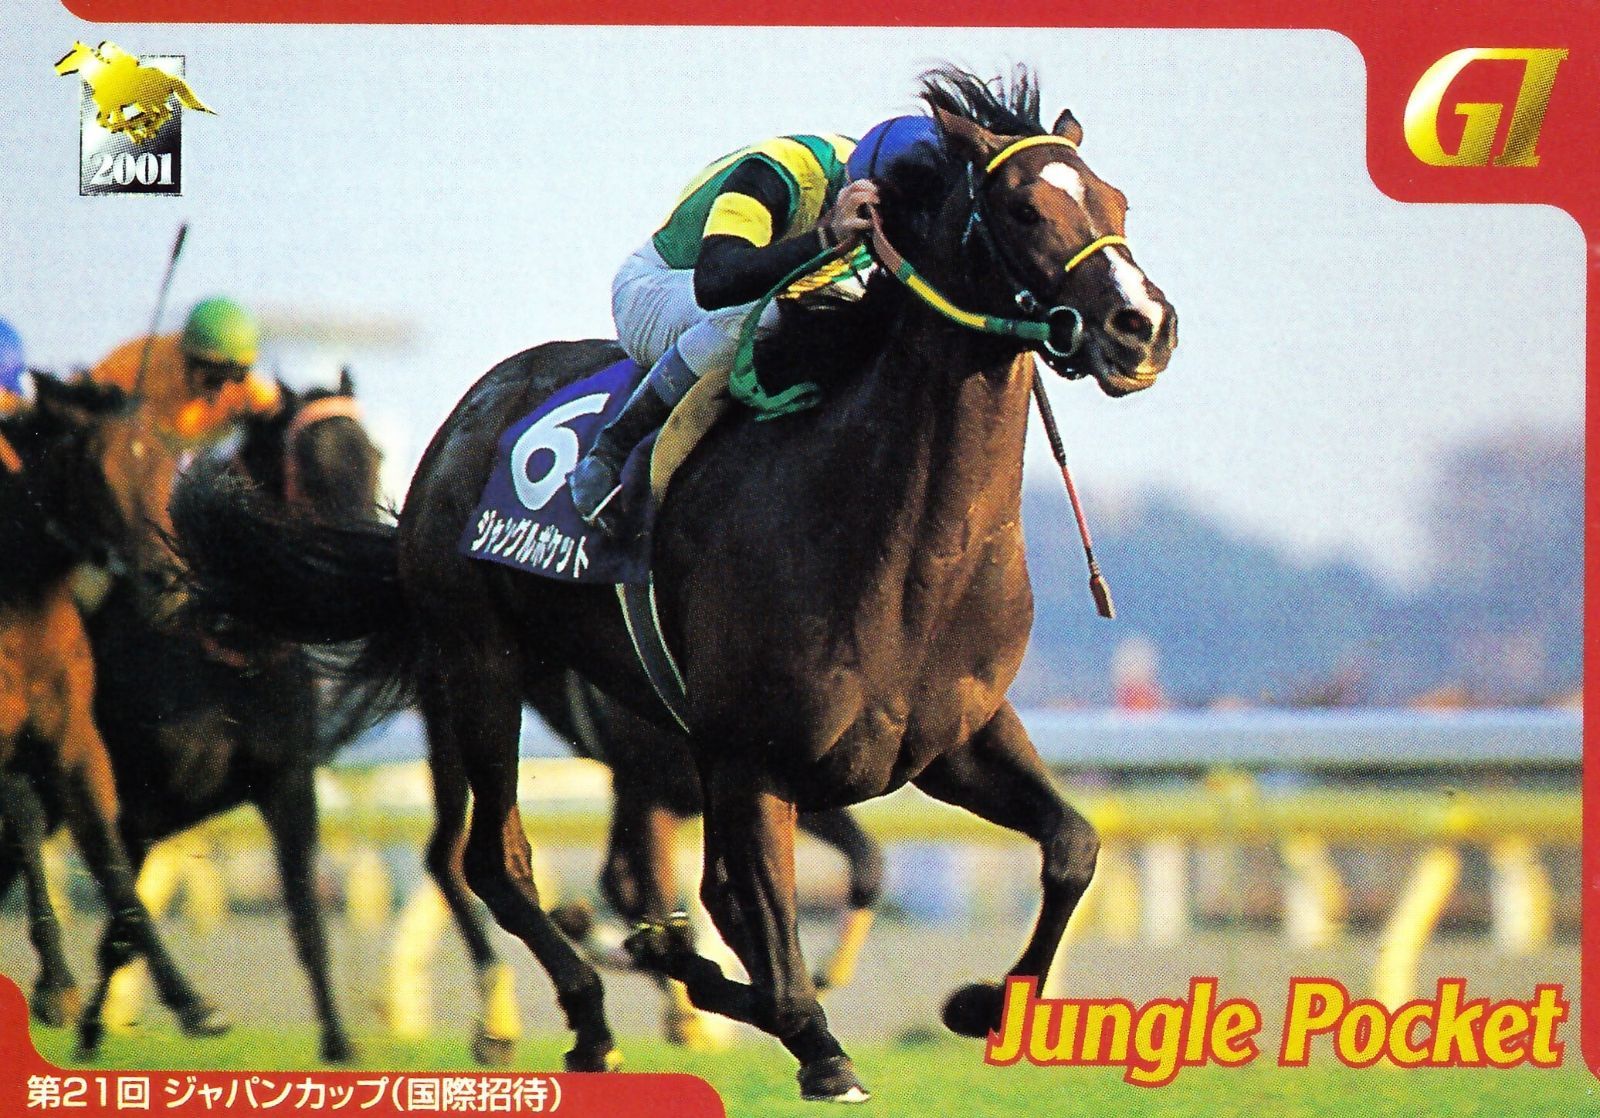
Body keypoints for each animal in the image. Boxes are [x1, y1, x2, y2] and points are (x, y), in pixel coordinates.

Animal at [0, 375, 226, 1045]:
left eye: (167, 466)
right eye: (98, 474)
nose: (169, 582)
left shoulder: (72, 735)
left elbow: (107, 851)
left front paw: (192, 1002)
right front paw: (58, 988)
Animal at [171, 66, 1176, 1100]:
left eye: (1116, 202)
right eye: (1023, 208)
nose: (1143, 326)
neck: (901, 551)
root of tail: (460, 424)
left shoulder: (953, 739)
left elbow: (1073, 846)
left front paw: (978, 1004)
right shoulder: (750, 758)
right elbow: (775, 957)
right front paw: (815, 1044)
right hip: (477, 663)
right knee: (493, 860)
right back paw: (587, 1016)